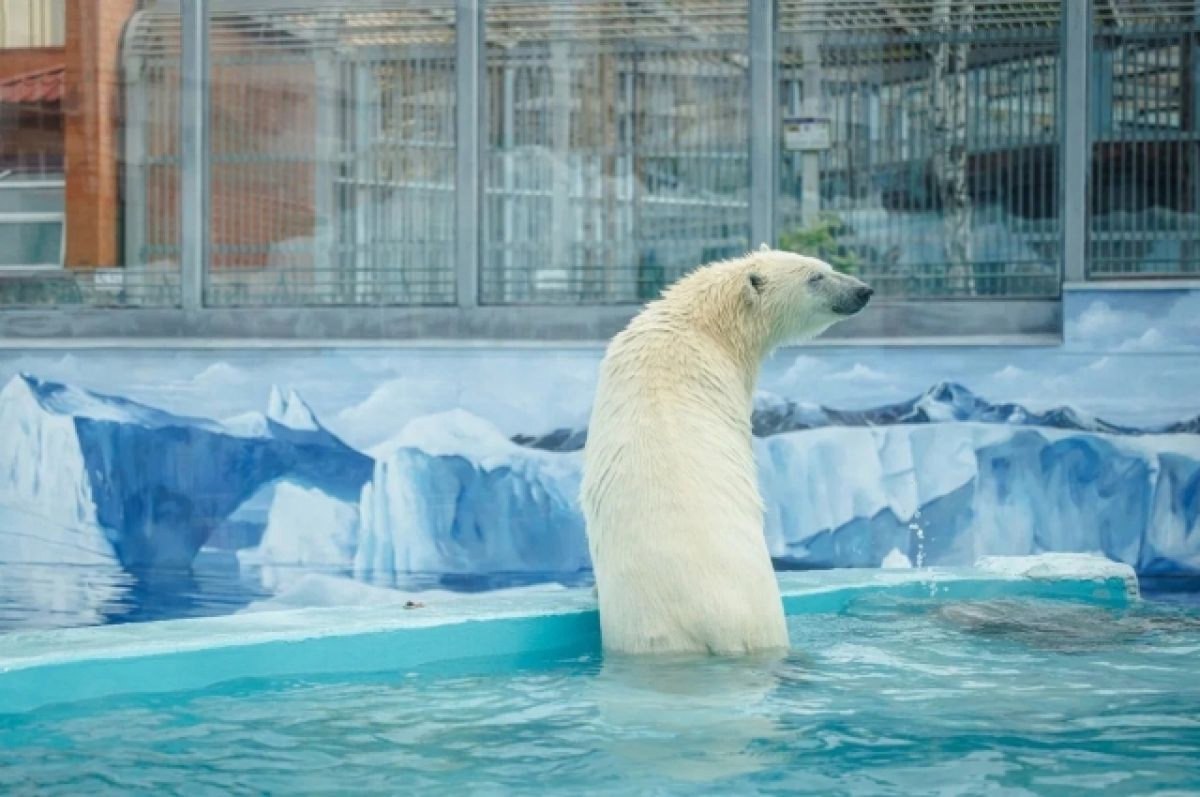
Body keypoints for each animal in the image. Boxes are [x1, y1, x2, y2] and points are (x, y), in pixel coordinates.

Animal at [580, 249, 873, 652]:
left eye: (826, 267)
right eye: (815, 277)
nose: (863, 290)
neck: (700, 326)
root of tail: (713, 624)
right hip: (740, 619)